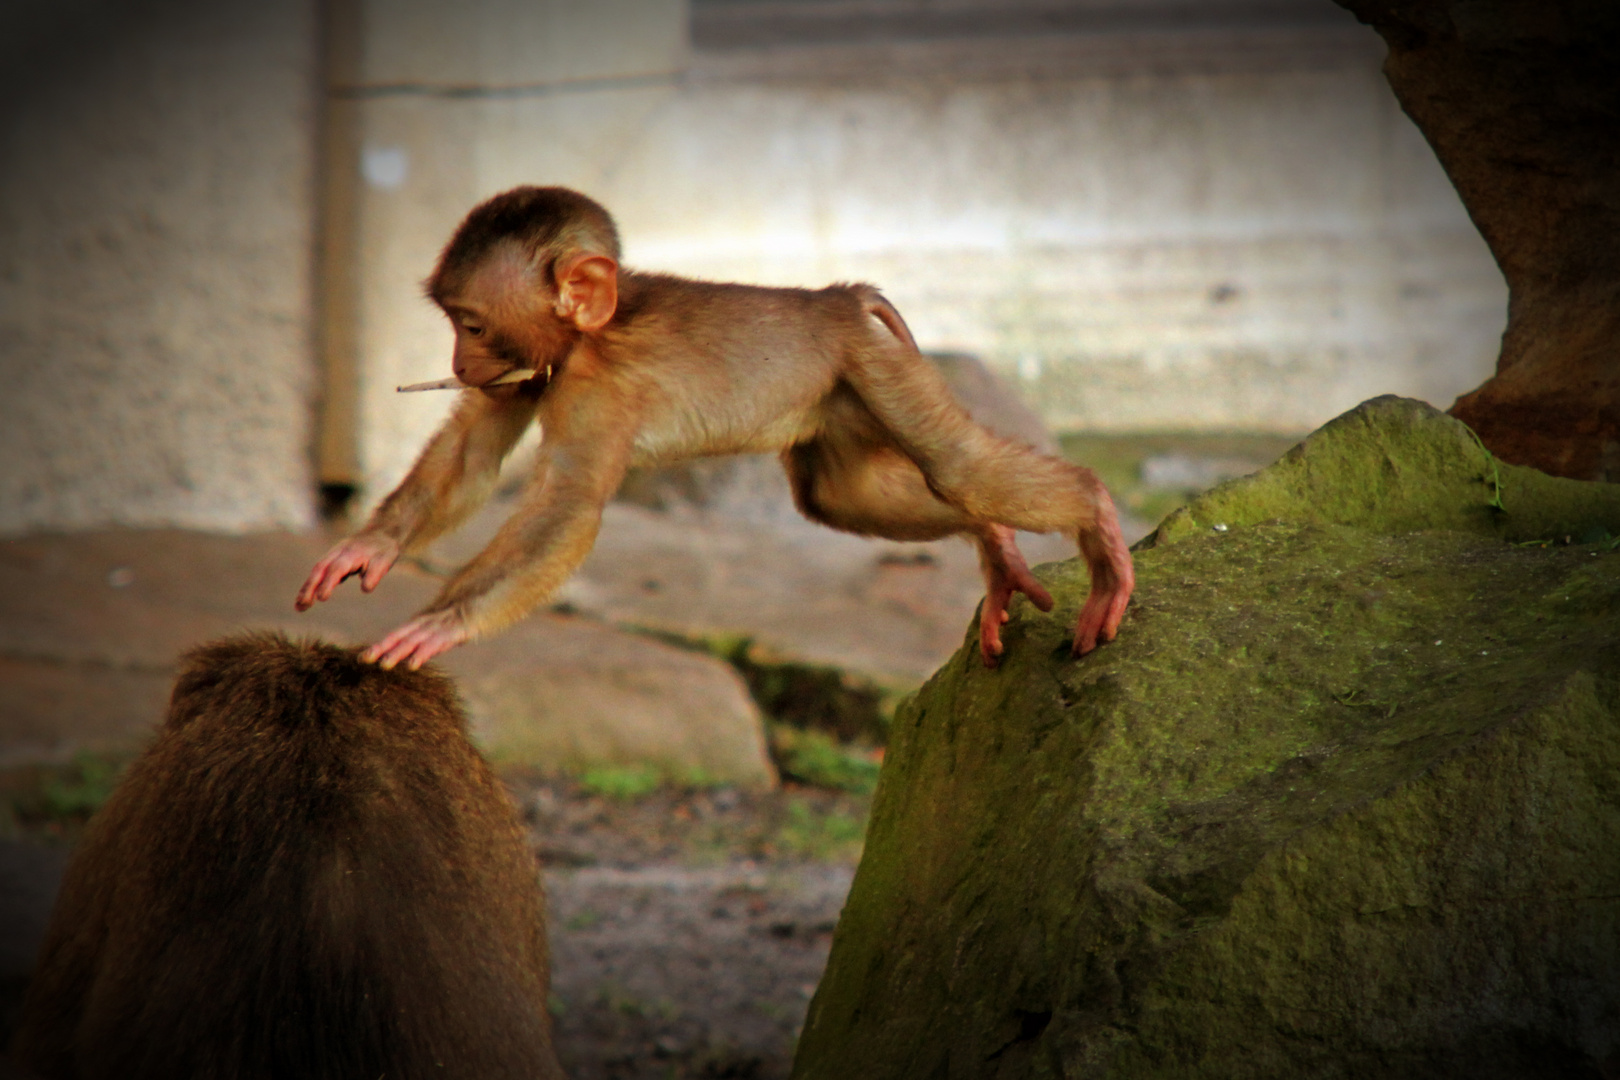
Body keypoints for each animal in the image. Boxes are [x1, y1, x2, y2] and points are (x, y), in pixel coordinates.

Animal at [301, 190, 1140, 670]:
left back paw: (1097, 521)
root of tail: (836, 298)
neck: (586, 338)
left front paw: (443, 621)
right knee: (838, 497)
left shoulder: (595, 390)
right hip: (842, 396)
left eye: (471, 325)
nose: (456, 360)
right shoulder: (530, 375)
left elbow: (568, 507)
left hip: (874, 367)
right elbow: (475, 451)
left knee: (958, 467)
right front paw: (367, 547)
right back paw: (994, 543)